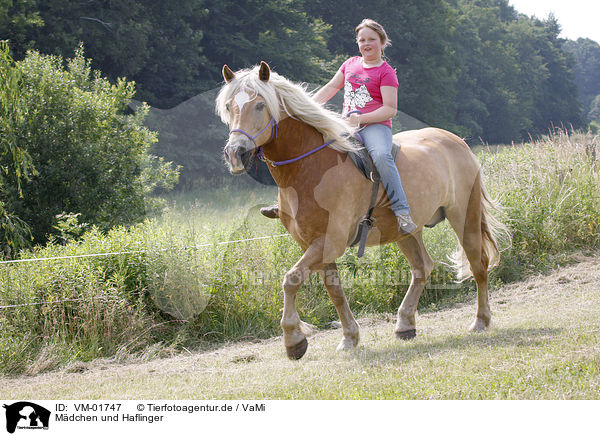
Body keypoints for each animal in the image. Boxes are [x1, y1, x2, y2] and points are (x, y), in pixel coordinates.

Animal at [216, 62, 506, 362]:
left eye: (260, 105)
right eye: (228, 106)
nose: (235, 153)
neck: (310, 168)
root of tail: (457, 141)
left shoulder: (330, 241)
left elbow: (290, 280)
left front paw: (293, 340)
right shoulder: (313, 244)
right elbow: (334, 289)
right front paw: (349, 337)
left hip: (464, 216)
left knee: (478, 263)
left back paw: (480, 321)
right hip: (407, 231)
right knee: (422, 267)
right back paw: (405, 324)